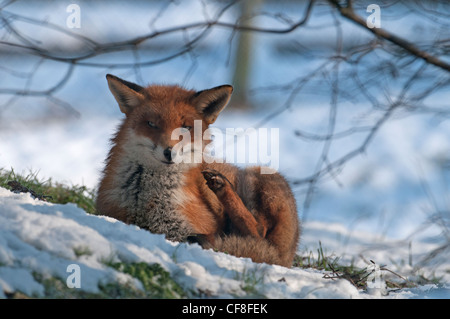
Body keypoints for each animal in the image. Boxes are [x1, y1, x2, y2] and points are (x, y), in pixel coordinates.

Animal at [96, 74, 300, 268]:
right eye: (152, 124)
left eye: (186, 127)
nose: (169, 152)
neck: (146, 196)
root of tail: (290, 250)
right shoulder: (115, 215)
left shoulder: (184, 226)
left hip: (260, 174)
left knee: (258, 233)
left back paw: (222, 186)